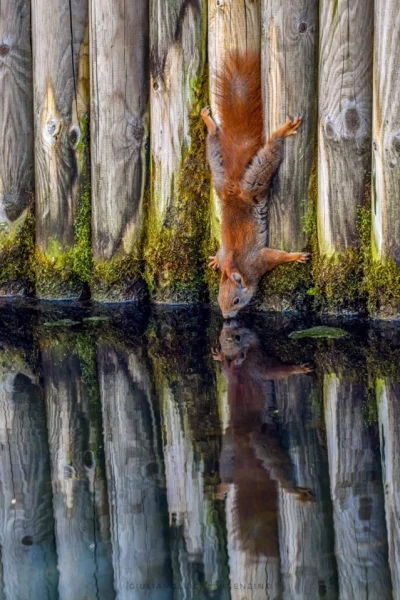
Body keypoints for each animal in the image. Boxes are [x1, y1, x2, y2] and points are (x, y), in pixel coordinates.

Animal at [203, 54, 310, 318]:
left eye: (236, 301)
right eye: (218, 300)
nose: (226, 318)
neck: (236, 265)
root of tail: (234, 192)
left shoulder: (257, 261)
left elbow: (276, 256)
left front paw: (295, 256)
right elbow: (221, 254)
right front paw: (215, 260)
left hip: (254, 181)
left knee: (270, 152)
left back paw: (281, 132)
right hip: (219, 176)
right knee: (213, 146)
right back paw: (209, 124)